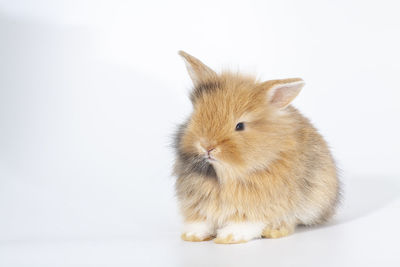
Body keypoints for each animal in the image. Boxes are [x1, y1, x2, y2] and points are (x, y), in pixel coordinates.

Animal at [173, 50, 340, 245]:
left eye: (240, 126)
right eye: (196, 115)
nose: (207, 146)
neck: (224, 174)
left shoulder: (257, 206)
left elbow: (246, 222)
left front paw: (229, 237)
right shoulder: (198, 203)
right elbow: (201, 220)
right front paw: (192, 235)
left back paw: (274, 231)